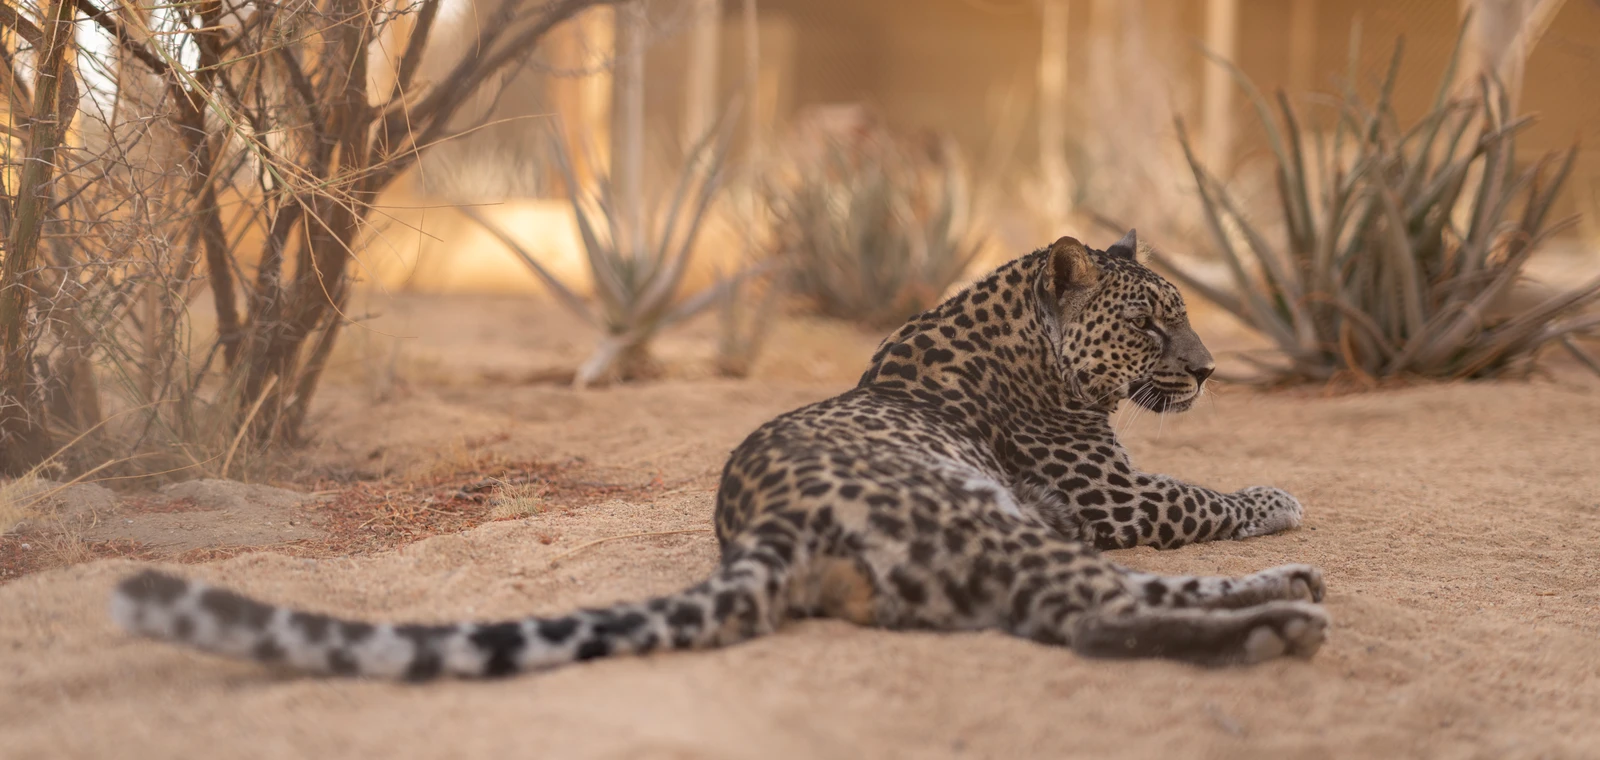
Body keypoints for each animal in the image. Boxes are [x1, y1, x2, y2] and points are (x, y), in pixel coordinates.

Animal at [111, 230, 1327, 680]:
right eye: (1154, 324)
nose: (1211, 371)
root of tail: (767, 524)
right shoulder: (1108, 496)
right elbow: (1199, 495)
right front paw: (1273, 494)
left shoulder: (1101, 499)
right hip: (992, 518)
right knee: (1097, 611)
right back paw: (1280, 616)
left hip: (988, 543)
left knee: (1104, 604)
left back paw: (1290, 595)